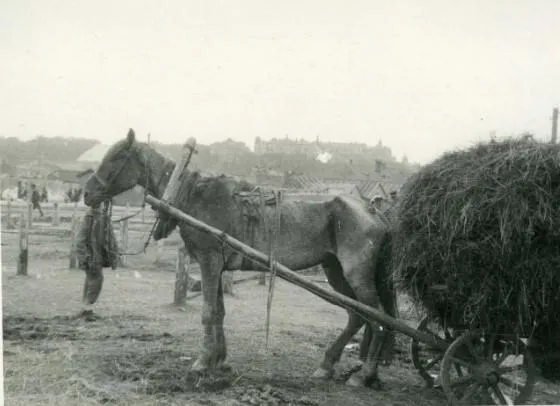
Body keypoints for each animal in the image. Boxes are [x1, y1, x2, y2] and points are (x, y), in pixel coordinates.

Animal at [84, 128, 398, 388]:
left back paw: (365, 374)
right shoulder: (217, 266)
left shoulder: (209, 261)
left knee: (378, 319)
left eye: (117, 157)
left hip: (356, 273)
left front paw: (202, 362)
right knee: (357, 316)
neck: (191, 195)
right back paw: (327, 365)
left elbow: (208, 312)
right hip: (335, 271)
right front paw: (219, 360)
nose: (87, 193)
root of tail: (374, 211)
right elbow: (219, 312)